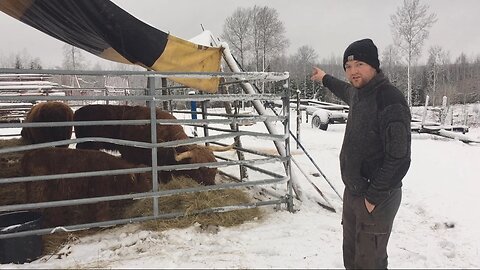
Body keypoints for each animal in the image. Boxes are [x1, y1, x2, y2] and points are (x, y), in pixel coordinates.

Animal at [20, 148, 152, 228]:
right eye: (147, 179)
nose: (152, 188)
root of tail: (29, 155)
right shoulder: (101, 194)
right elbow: (102, 209)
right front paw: (105, 223)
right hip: (38, 191)